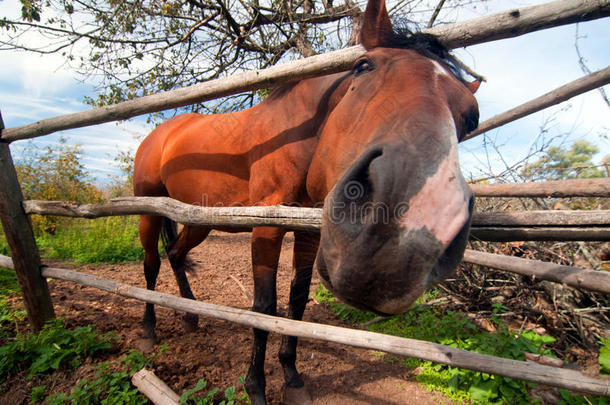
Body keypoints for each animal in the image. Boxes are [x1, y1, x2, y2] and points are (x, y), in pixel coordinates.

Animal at [132, 0, 476, 400]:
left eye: (472, 117)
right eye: (364, 66)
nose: (400, 236)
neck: (300, 138)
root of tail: (164, 131)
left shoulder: (310, 233)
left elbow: (296, 302)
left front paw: (292, 376)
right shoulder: (267, 229)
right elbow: (264, 307)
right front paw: (256, 388)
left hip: (201, 219)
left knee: (175, 255)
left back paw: (189, 315)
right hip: (148, 210)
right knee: (152, 263)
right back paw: (148, 331)